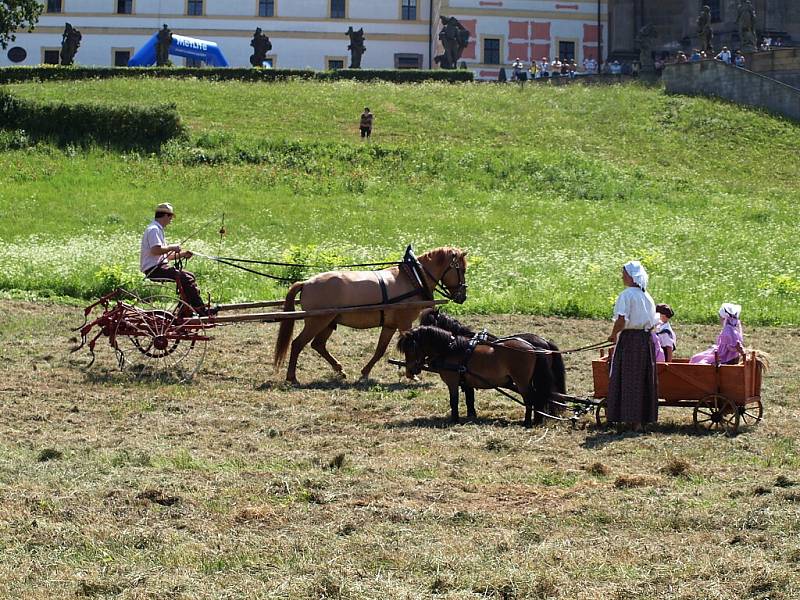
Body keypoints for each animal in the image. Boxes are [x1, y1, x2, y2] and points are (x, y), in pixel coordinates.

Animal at [274, 247, 466, 384]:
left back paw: (339, 370)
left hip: (328, 322)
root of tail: (306, 282)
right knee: (298, 344)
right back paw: (292, 377)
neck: (413, 278)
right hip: (317, 321)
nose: (463, 296)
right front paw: (412, 375)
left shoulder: (390, 325)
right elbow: (409, 348)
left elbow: (380, 350)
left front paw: (365, 373)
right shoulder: (405, 323)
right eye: (462, 269)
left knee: (318, 345)